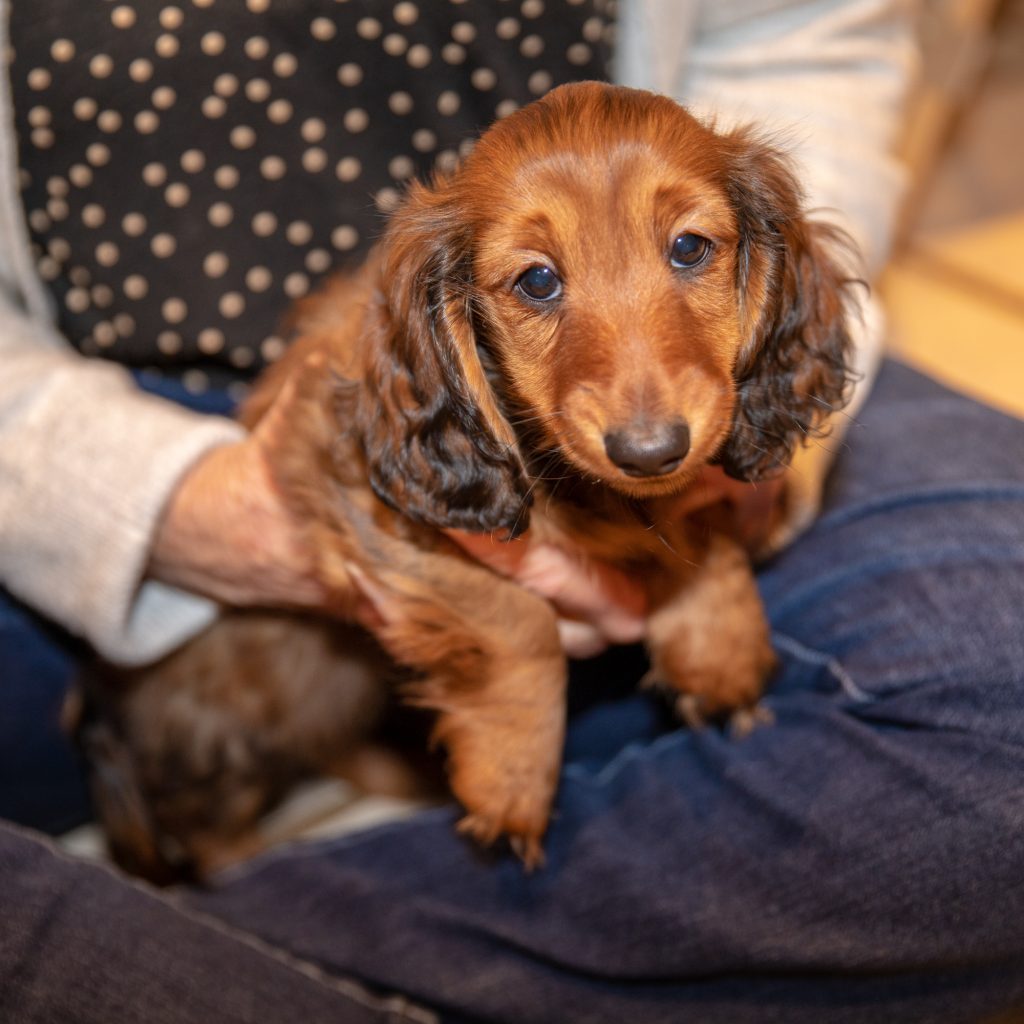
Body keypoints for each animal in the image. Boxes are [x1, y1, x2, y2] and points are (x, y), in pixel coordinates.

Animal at [74, 81, 856, 880]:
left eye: (690, 247)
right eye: (538, 281)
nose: (649, 450)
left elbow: (695, 524)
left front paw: (717, 648)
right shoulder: (356, 490)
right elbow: (521, 622)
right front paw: (513, 779)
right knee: (206, 829)